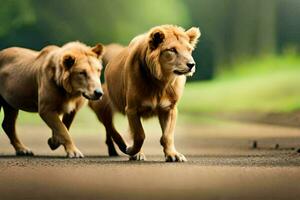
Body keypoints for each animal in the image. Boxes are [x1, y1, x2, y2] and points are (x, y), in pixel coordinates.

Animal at [89, 24, 202, 161]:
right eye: (172, 50)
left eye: (189, 49)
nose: (191, 64)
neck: (160, 82)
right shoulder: (132, 109)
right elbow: (140, 135)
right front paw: (133, 151)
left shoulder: (170, 109)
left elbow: (167, 136)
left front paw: (172, 154)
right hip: (101, 106)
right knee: (111, 128)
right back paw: (124, 148)